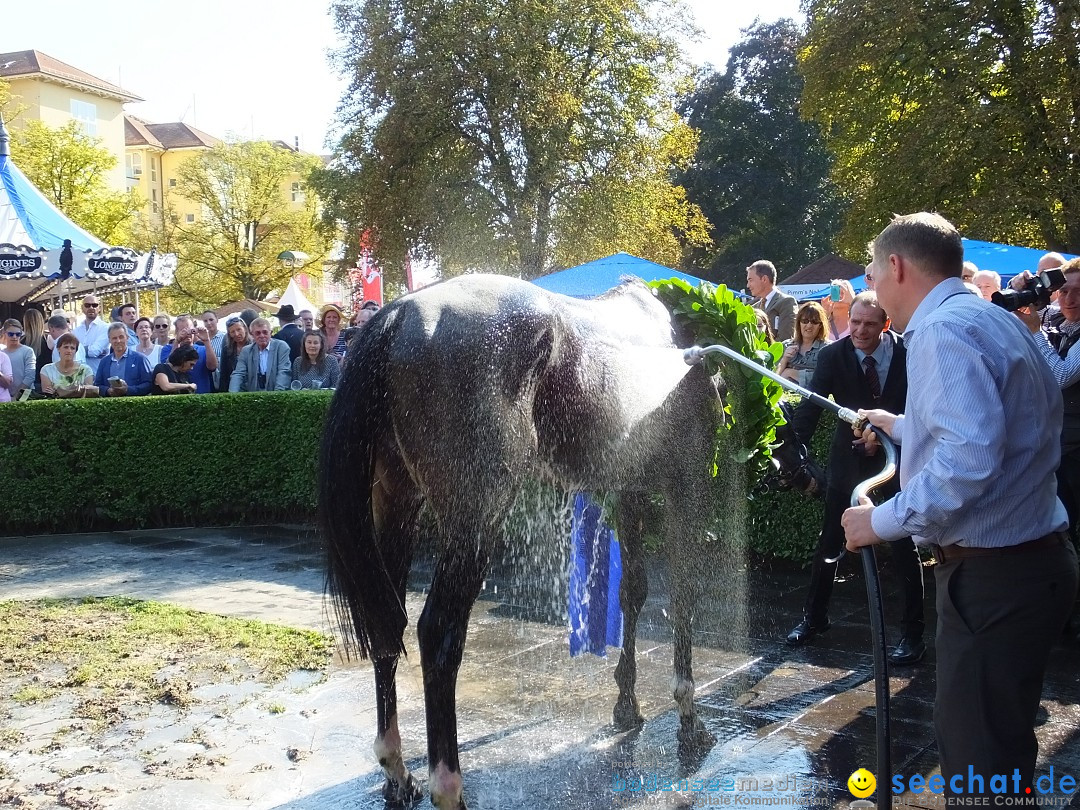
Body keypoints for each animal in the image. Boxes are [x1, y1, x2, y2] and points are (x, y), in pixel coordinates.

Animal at [317, 274, 768, 810]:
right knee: (438, 633)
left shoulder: (629, 490)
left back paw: (397, 771)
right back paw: (448, 787)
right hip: (476, 517)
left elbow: (633, 591)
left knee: (388, 622)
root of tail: (399, 315)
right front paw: (689, 720)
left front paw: (627, 703)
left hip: (396, 503)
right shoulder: (686, 486)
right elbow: (683, 595)